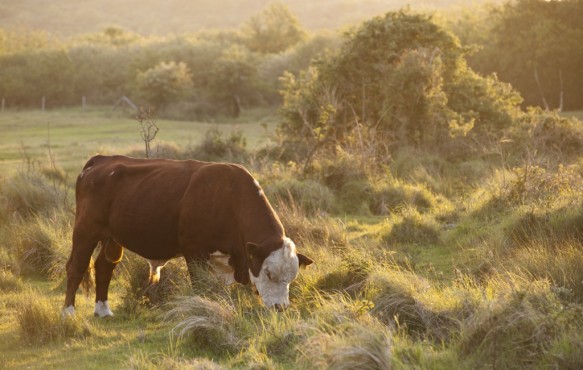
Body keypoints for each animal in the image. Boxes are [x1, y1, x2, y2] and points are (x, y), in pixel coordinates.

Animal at [62, 155, 314, 316]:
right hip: (85, 231)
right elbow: (201, 287)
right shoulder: (195, 252)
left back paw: (103, 310)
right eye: (269, 273)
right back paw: (68, 312)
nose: (280, 308)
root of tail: (102, 159)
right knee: (76, 267)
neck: (229, 197)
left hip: (112, 237)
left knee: (104, 267)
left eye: (292, 277)